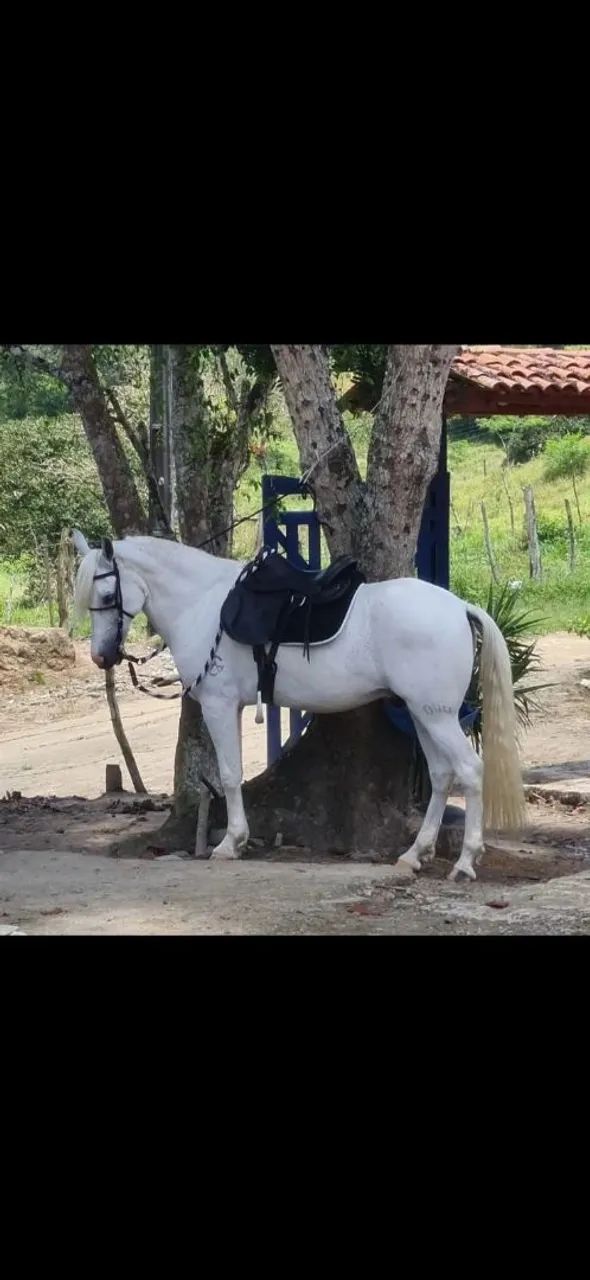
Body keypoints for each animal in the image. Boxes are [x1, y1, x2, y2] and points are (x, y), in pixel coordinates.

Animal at [72, 530, 525, 880]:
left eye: (108, 594)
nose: (101, 656)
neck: (203, 604)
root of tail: (460, 607)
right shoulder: (233, 707)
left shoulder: (219, 704)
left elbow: (230, 774)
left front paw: (230, 843)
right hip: (423, 714)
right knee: (443, 774)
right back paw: (414, 855)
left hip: (438, 717)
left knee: (470, 771)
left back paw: (465, 862)